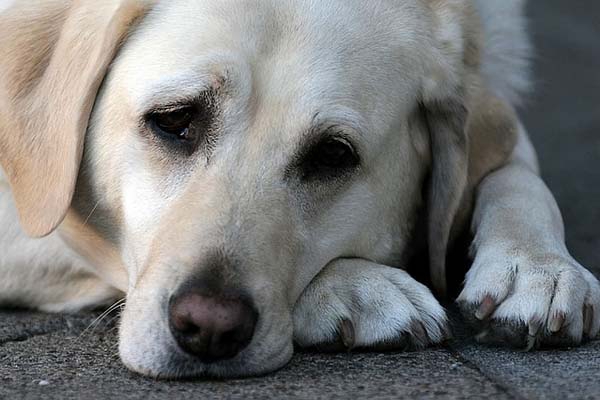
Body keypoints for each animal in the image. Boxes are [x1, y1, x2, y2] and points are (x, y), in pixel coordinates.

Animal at [0, 0, 596, 378]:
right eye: (173, 120)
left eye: (332, 156)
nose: (208, 328)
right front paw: (359, 287)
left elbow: (519, 177)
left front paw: (537, 269)